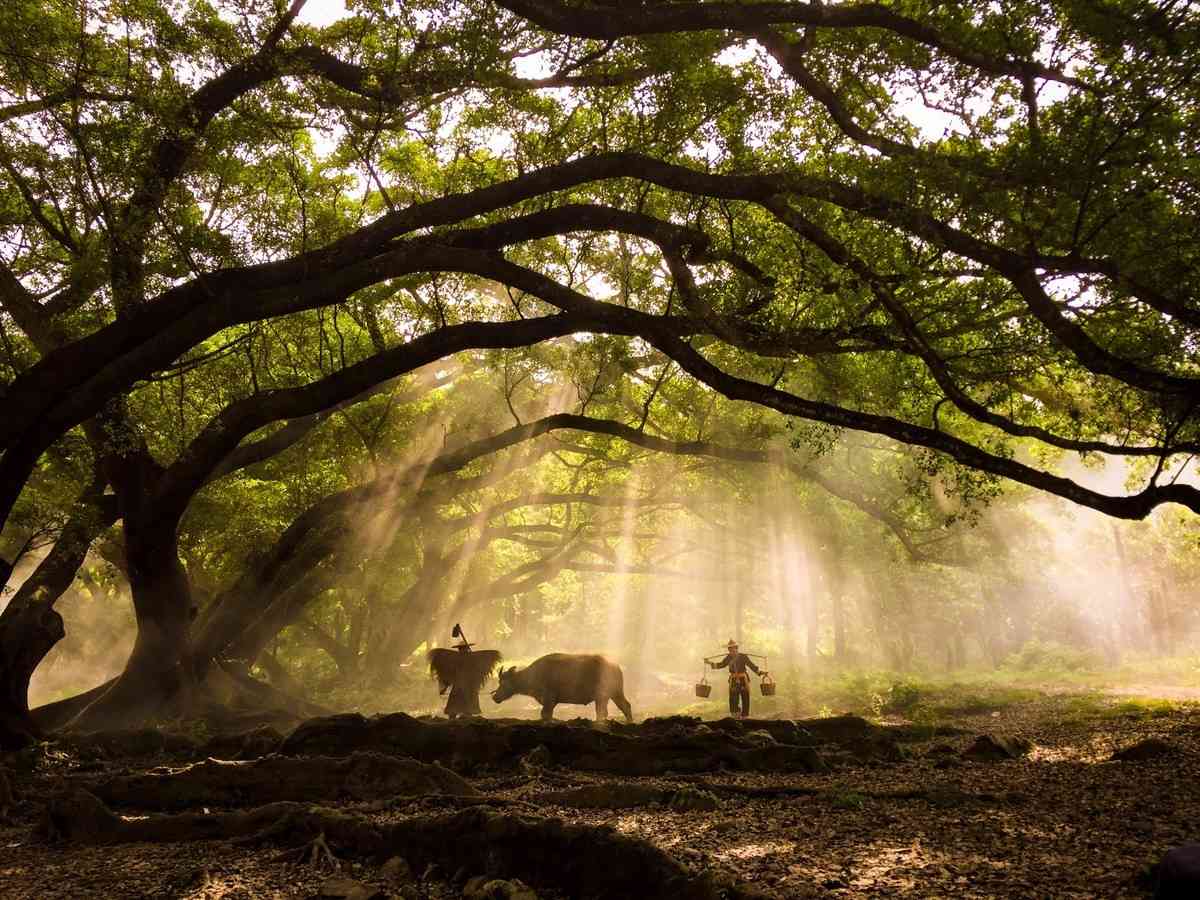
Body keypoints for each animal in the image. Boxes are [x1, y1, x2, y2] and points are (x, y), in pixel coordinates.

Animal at [489, 652, 633, 724]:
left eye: (503, 682)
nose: (495, 697)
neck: (534, 674)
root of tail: (615, 666)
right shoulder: (552, 701)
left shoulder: (549, 698)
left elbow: (544, 714)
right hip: (614, 694)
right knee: (624, 706)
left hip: (604, 696)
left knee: (604, 711)